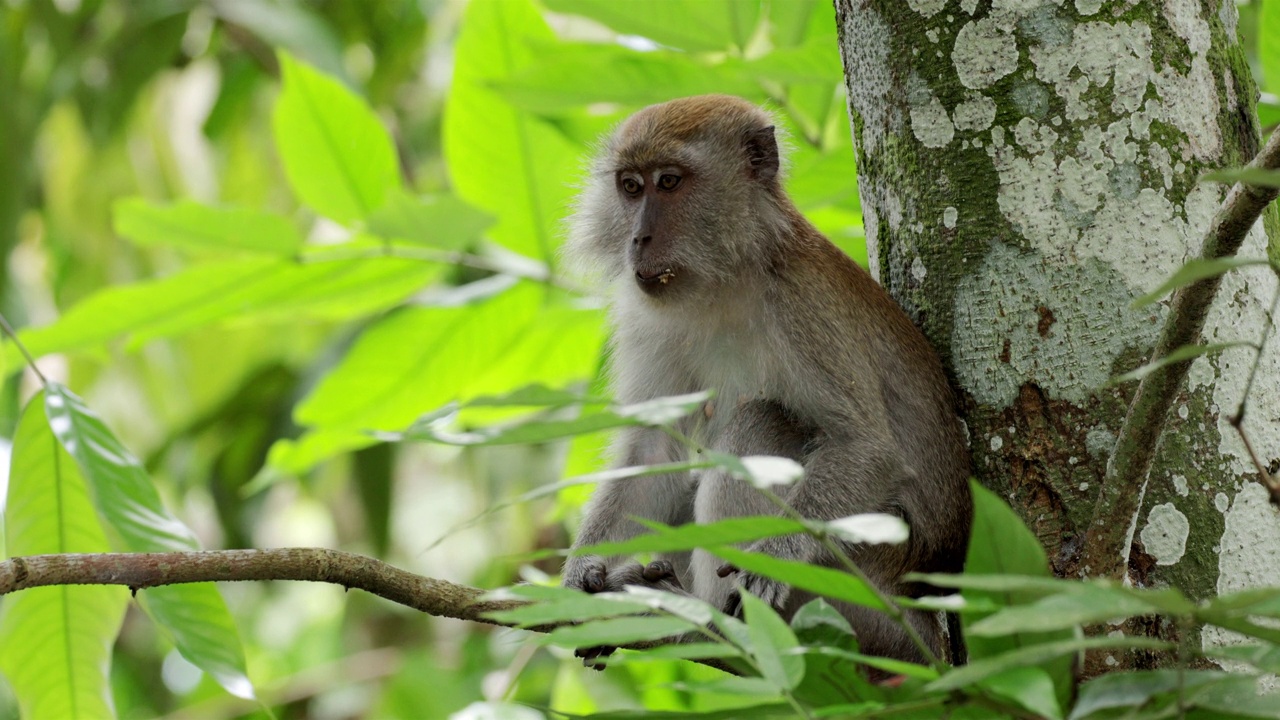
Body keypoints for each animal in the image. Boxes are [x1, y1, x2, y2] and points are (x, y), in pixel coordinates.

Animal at [560, 95, 967, 666]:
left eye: (669, 182)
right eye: (631, 186)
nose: (638, 238)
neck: (726, 280)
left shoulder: (802, 304)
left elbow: (866, 448)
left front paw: (776, 556)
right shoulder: (647, 317)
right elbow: (652, 449)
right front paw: (580, 573)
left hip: (858, 586)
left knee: (763, 420)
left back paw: (708, 619)